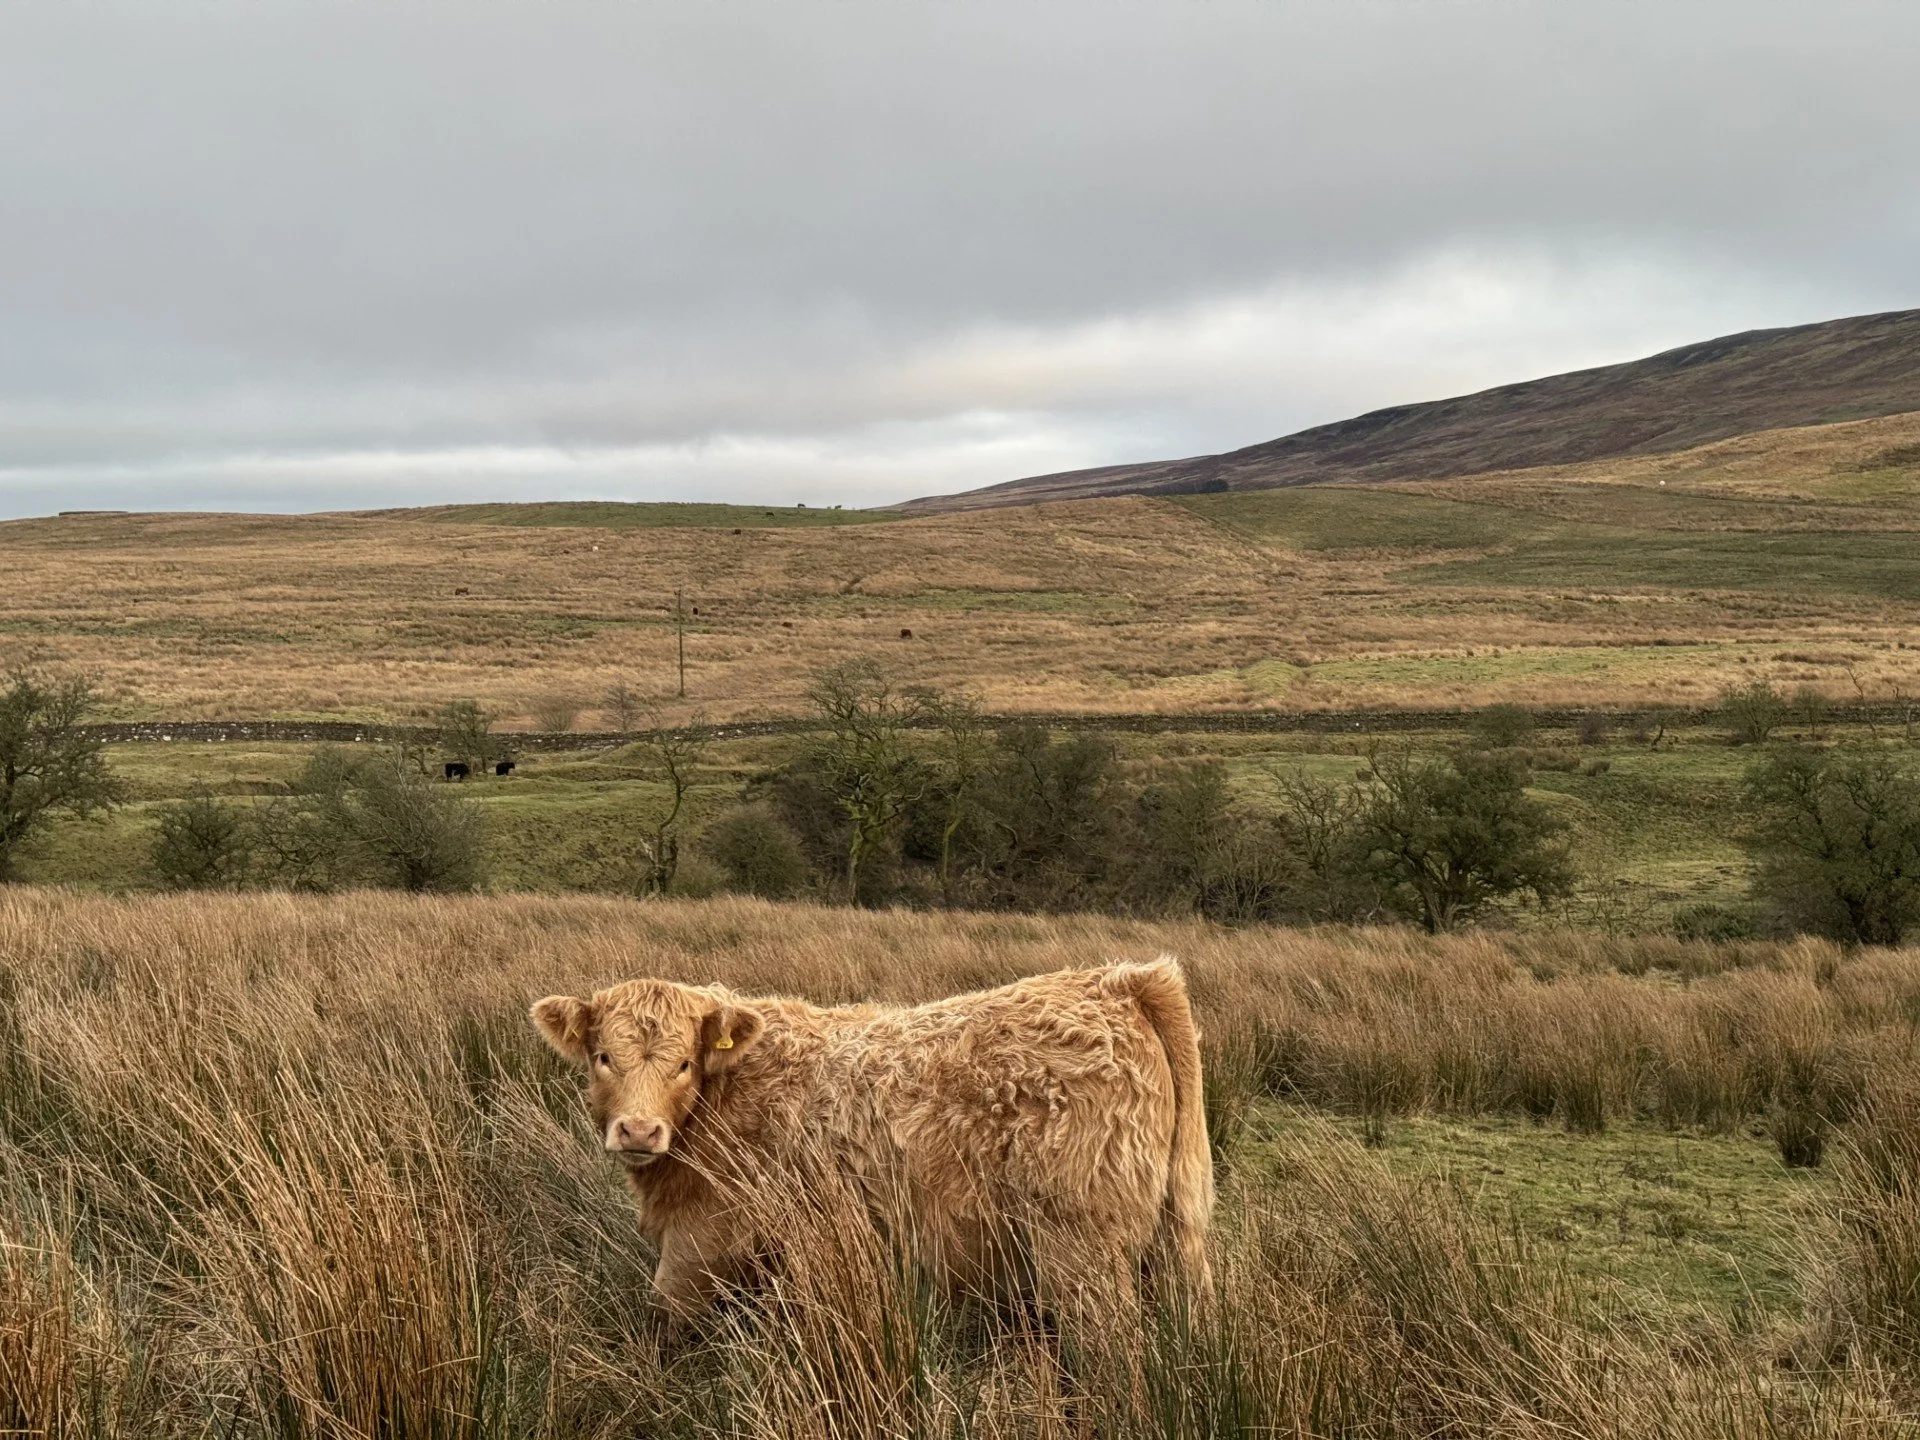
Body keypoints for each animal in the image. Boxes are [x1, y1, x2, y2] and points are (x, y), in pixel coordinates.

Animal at [530, 959, 1212, 1326]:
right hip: (1176, 1244)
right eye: (603, 1057)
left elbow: (665, 1322)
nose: (639, 1130)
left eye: (682, 1065)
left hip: (1081, 1249)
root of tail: (1118, 982)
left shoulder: (703, 1238)